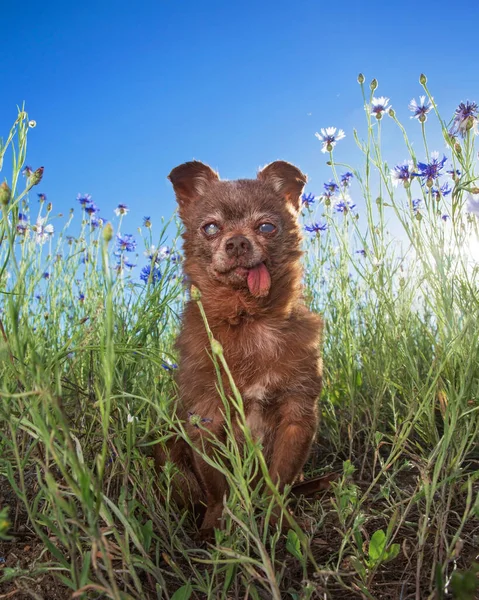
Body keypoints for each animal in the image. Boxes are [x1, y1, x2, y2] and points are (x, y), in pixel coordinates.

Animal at [156, 161, 324, 540]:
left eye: (266, 227)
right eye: (210, 228)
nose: (236, 242)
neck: (249, 320)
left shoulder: (297, 418)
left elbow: (278, 480)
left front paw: (279, 523)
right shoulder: (205, 421)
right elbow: (217, 486)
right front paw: (216, 527)